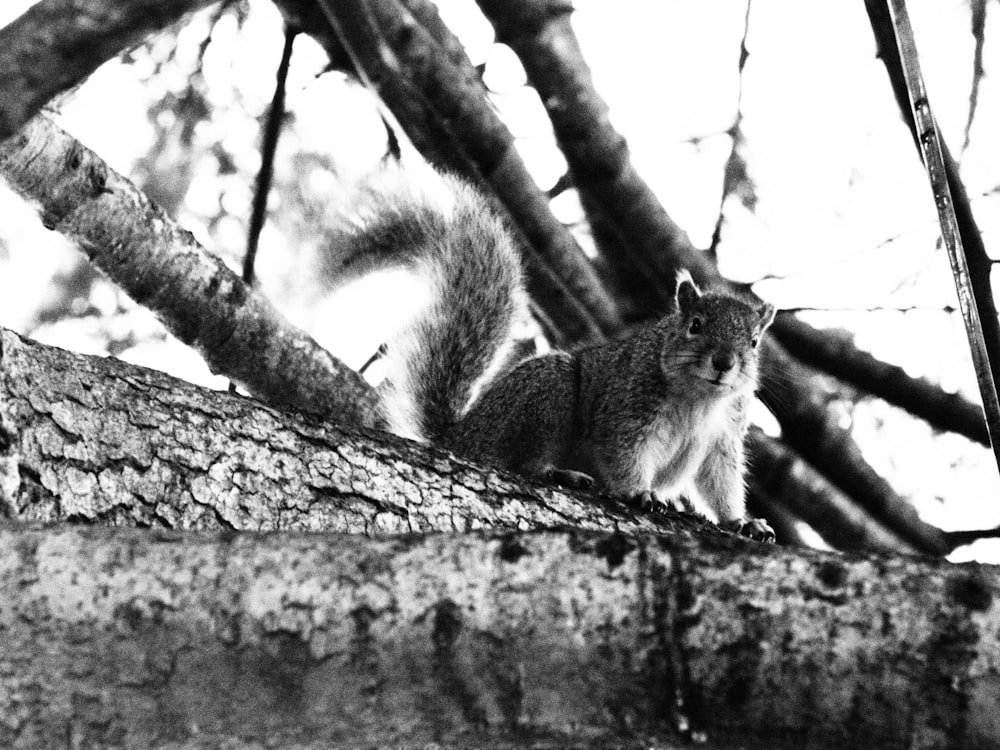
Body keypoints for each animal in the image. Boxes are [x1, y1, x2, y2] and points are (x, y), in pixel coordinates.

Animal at [324, 166, 776, 540]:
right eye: (694, 325)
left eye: (754, 342)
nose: (725, 362)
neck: (700, 399)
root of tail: (462, 435)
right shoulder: (629, 403)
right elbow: (622, 450)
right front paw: (638, 493)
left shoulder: (724, 433)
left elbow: (720, 481)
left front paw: (742, 521)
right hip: (547, 393)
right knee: (519, 463)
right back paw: (561, 473)